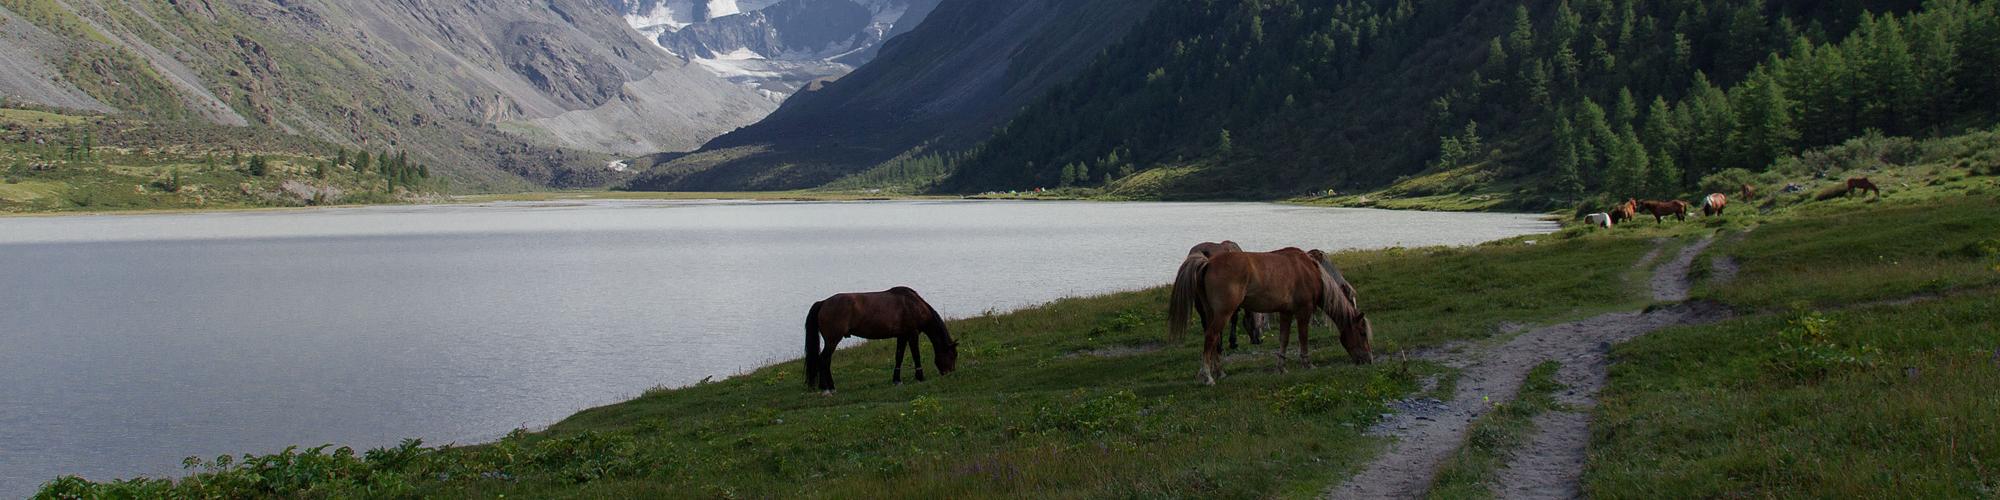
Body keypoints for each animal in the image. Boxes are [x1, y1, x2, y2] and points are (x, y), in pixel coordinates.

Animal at [800, 288, 956, 392]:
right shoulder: (913, 334)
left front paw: (897, 380)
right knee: (824, 360)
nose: (950, 373)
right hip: (832, 340)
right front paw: (920, 377)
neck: (913, 305)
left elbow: (899, 357)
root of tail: (823, 302)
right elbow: (916, 355)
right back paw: (829, 388)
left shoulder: (902, 335)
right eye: (953, 355)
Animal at [1168, 248, 1368, 384]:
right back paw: (1208, 376)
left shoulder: (1286, 312)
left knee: (1214, 339)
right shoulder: (1304, 311)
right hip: (1223, 313)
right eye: (1363, 333)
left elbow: (1284, 339)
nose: (1368, 360)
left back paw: (1219, 372)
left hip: (1211, 313)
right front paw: (1307, 364)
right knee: (1211, 337)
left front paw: (1281, 368)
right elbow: (1303, 338)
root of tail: (1208, 263)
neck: (1310, 271)